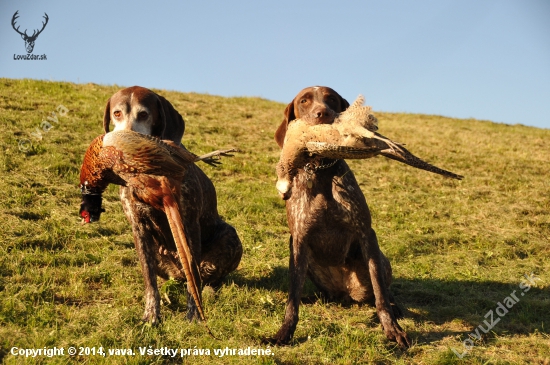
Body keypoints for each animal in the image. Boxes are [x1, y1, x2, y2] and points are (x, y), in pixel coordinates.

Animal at [103, 85, 242, 322]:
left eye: (144, 114)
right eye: (117, 113)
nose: (126, 141)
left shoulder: (188, 224)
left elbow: (193, 280)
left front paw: (194, 313)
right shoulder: (138, 228)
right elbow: (150, 282)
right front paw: (151, 314)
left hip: (229, 237)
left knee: (207, 277)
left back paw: (209, 290)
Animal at [266, 85, 412, 346]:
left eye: (331, 99)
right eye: (304, 101)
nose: (322, 114)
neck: (320, 171)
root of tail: (346, 292)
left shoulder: (366, 233)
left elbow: (380, 293)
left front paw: (392, 329)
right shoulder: (299, 240)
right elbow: (292, 298)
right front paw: (284, 332)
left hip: (380, 258)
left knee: (383, 289)